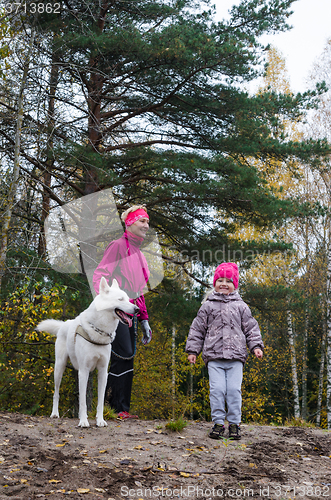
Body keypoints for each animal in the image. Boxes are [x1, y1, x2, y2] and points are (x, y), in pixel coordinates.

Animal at [36, 278, 139, 426]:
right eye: (120, 299)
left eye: (128, 299)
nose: (137, 309)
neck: (99, 330)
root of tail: (64, 324)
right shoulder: (83, 370)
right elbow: (83, 402)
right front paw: (84, 422)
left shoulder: (103, 372)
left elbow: (100, 401)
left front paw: (100, 421)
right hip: (59, 368)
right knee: (56, 393)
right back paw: (55, 414)